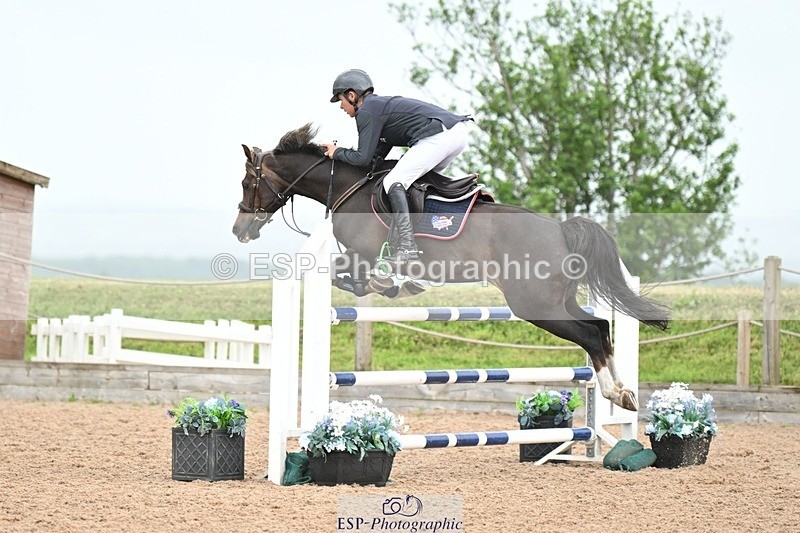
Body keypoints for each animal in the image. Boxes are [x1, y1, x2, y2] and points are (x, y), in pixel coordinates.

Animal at [232, 123, 669, 411]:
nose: (239, 230)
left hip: (536, 306)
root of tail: (561, 230)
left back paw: (615, 394)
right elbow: (351, 280)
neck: (347, 187)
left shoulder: (362, 253)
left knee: (591, 335)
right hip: (558, 301)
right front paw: (397, 285)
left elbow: (351, 278)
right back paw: (624, 391)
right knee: (601, 325)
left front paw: (391, 284)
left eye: (246, 184)